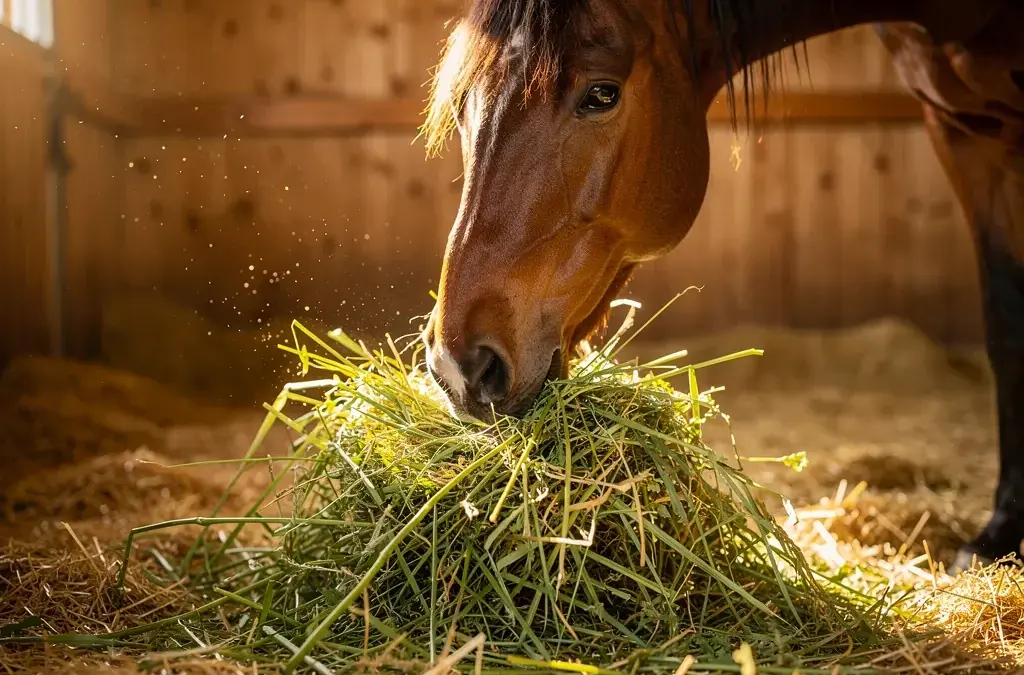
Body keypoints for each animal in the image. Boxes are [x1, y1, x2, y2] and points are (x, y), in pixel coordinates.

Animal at [417, 0, 1024, 573]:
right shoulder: (962, 132)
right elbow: (1004, 326)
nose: (460, 366)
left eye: (601, 94)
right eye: (462, 100)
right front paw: (1000, 534)